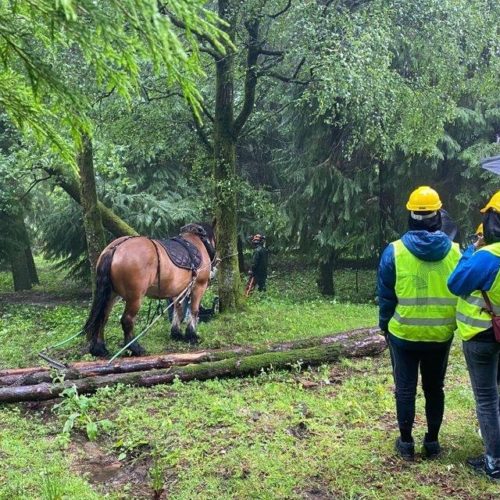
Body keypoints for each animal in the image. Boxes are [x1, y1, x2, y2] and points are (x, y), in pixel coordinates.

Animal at [82, 222, 215, 356]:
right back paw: (135, 348)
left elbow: (179, 311)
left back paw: (100, 349)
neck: (196, 241)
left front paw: (176, 333)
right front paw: (192, 335)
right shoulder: (199, 285)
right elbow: (194, 310)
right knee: (127, 320)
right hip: (135, 297)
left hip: (111, 295)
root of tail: (115, 248)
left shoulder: (179, 290)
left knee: (102, 318)